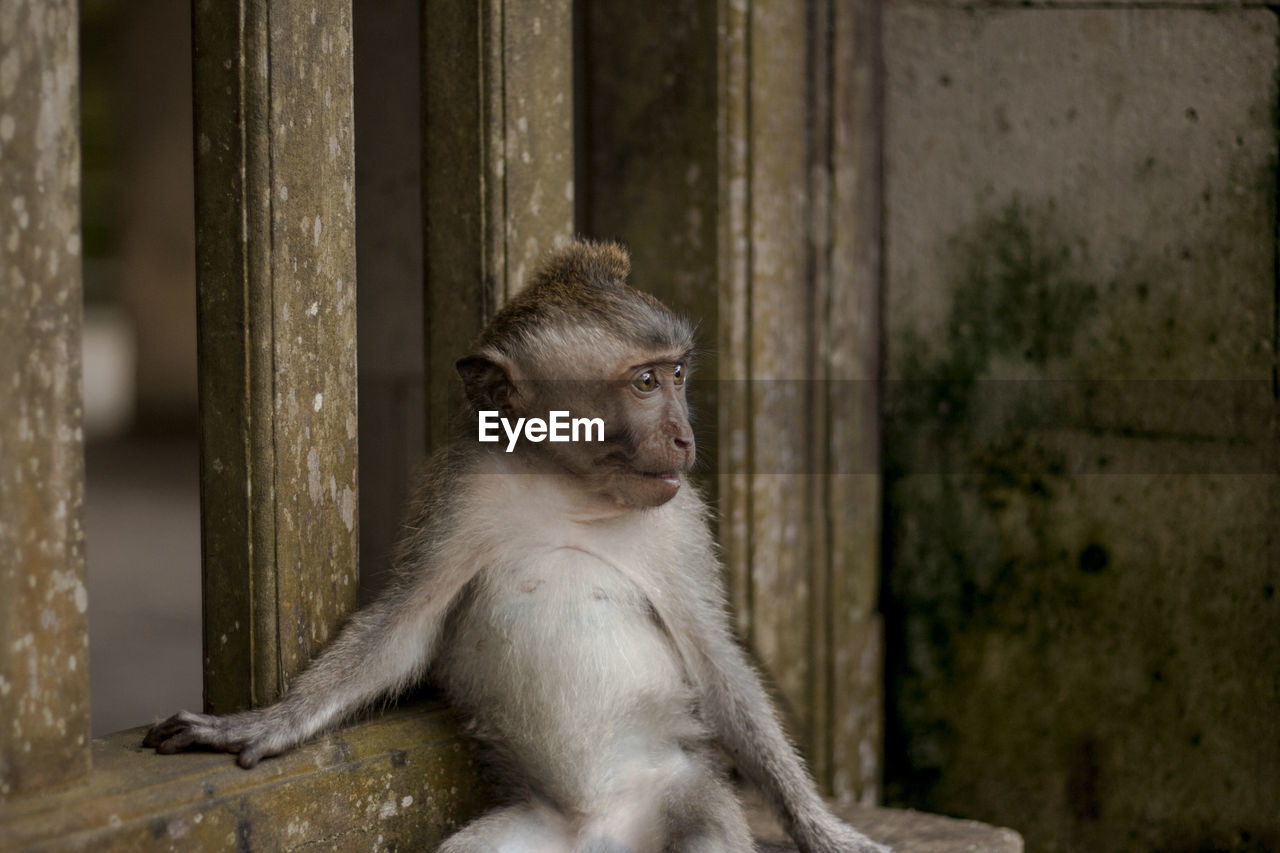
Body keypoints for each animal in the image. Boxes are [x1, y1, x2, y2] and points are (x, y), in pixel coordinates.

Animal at [145, 239, 885, 850]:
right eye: (646, 381)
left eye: (677, 374)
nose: (684, 436)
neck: (568, 485)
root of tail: (603, 833)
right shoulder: (463, 494)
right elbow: (403, 628)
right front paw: (268, 723)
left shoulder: (680, 525)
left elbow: (715, 663)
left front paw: (824, 830)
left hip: (685, 793)